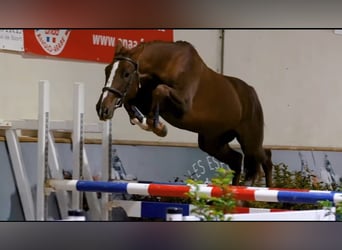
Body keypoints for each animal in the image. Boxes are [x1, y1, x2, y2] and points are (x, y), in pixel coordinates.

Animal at [95, 40, 272, 187]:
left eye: (126, 74)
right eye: (106, 70)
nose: (101, 109)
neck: (167, 65)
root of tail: (252, 93)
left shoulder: (183, 105)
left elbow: (160, 90)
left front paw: (157, 126)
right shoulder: (142, 98)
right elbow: (129, 102)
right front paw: (147, 123)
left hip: (250, 140)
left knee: (265, 157)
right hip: (212, 142)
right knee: (237, 160)